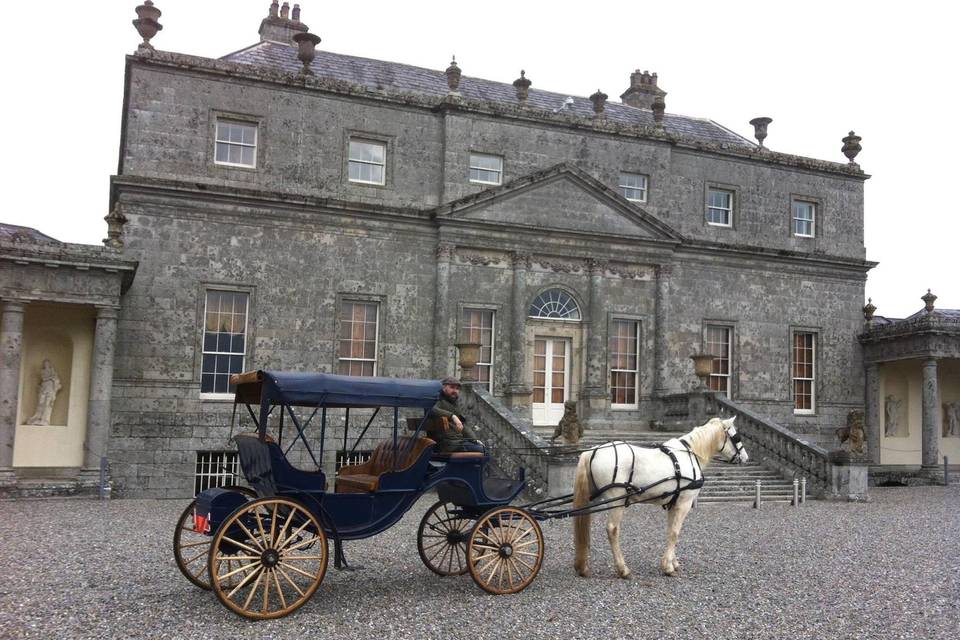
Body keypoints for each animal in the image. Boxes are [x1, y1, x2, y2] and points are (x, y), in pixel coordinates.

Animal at [568, 418, 752, 576]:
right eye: (737, 436)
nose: (745, 458)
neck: (690, 454)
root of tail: (593, 452)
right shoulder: (684, 503)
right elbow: (675, 533)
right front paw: (668, 567)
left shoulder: (673, 503)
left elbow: (670, 531)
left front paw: (672, 562)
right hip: (617, 501)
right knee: (613, 530)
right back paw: (622, 569)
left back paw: (582, 566)